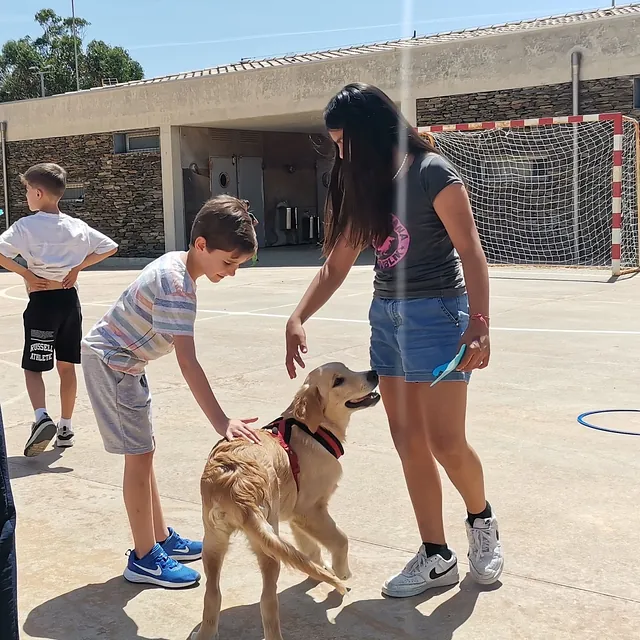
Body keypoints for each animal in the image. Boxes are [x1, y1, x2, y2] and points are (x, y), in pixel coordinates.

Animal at [190, 362, 380, 636]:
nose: (374, 373)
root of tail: (235, 481)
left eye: (348, 368)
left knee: (212, 594)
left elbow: (309, 547)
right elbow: (341, 539)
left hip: (214, 542)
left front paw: (319, 570)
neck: (313, 429)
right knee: (267, 601)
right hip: (268, 544)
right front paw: (341, 573)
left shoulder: (296, 515)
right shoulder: (311, 509)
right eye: (338, 381)